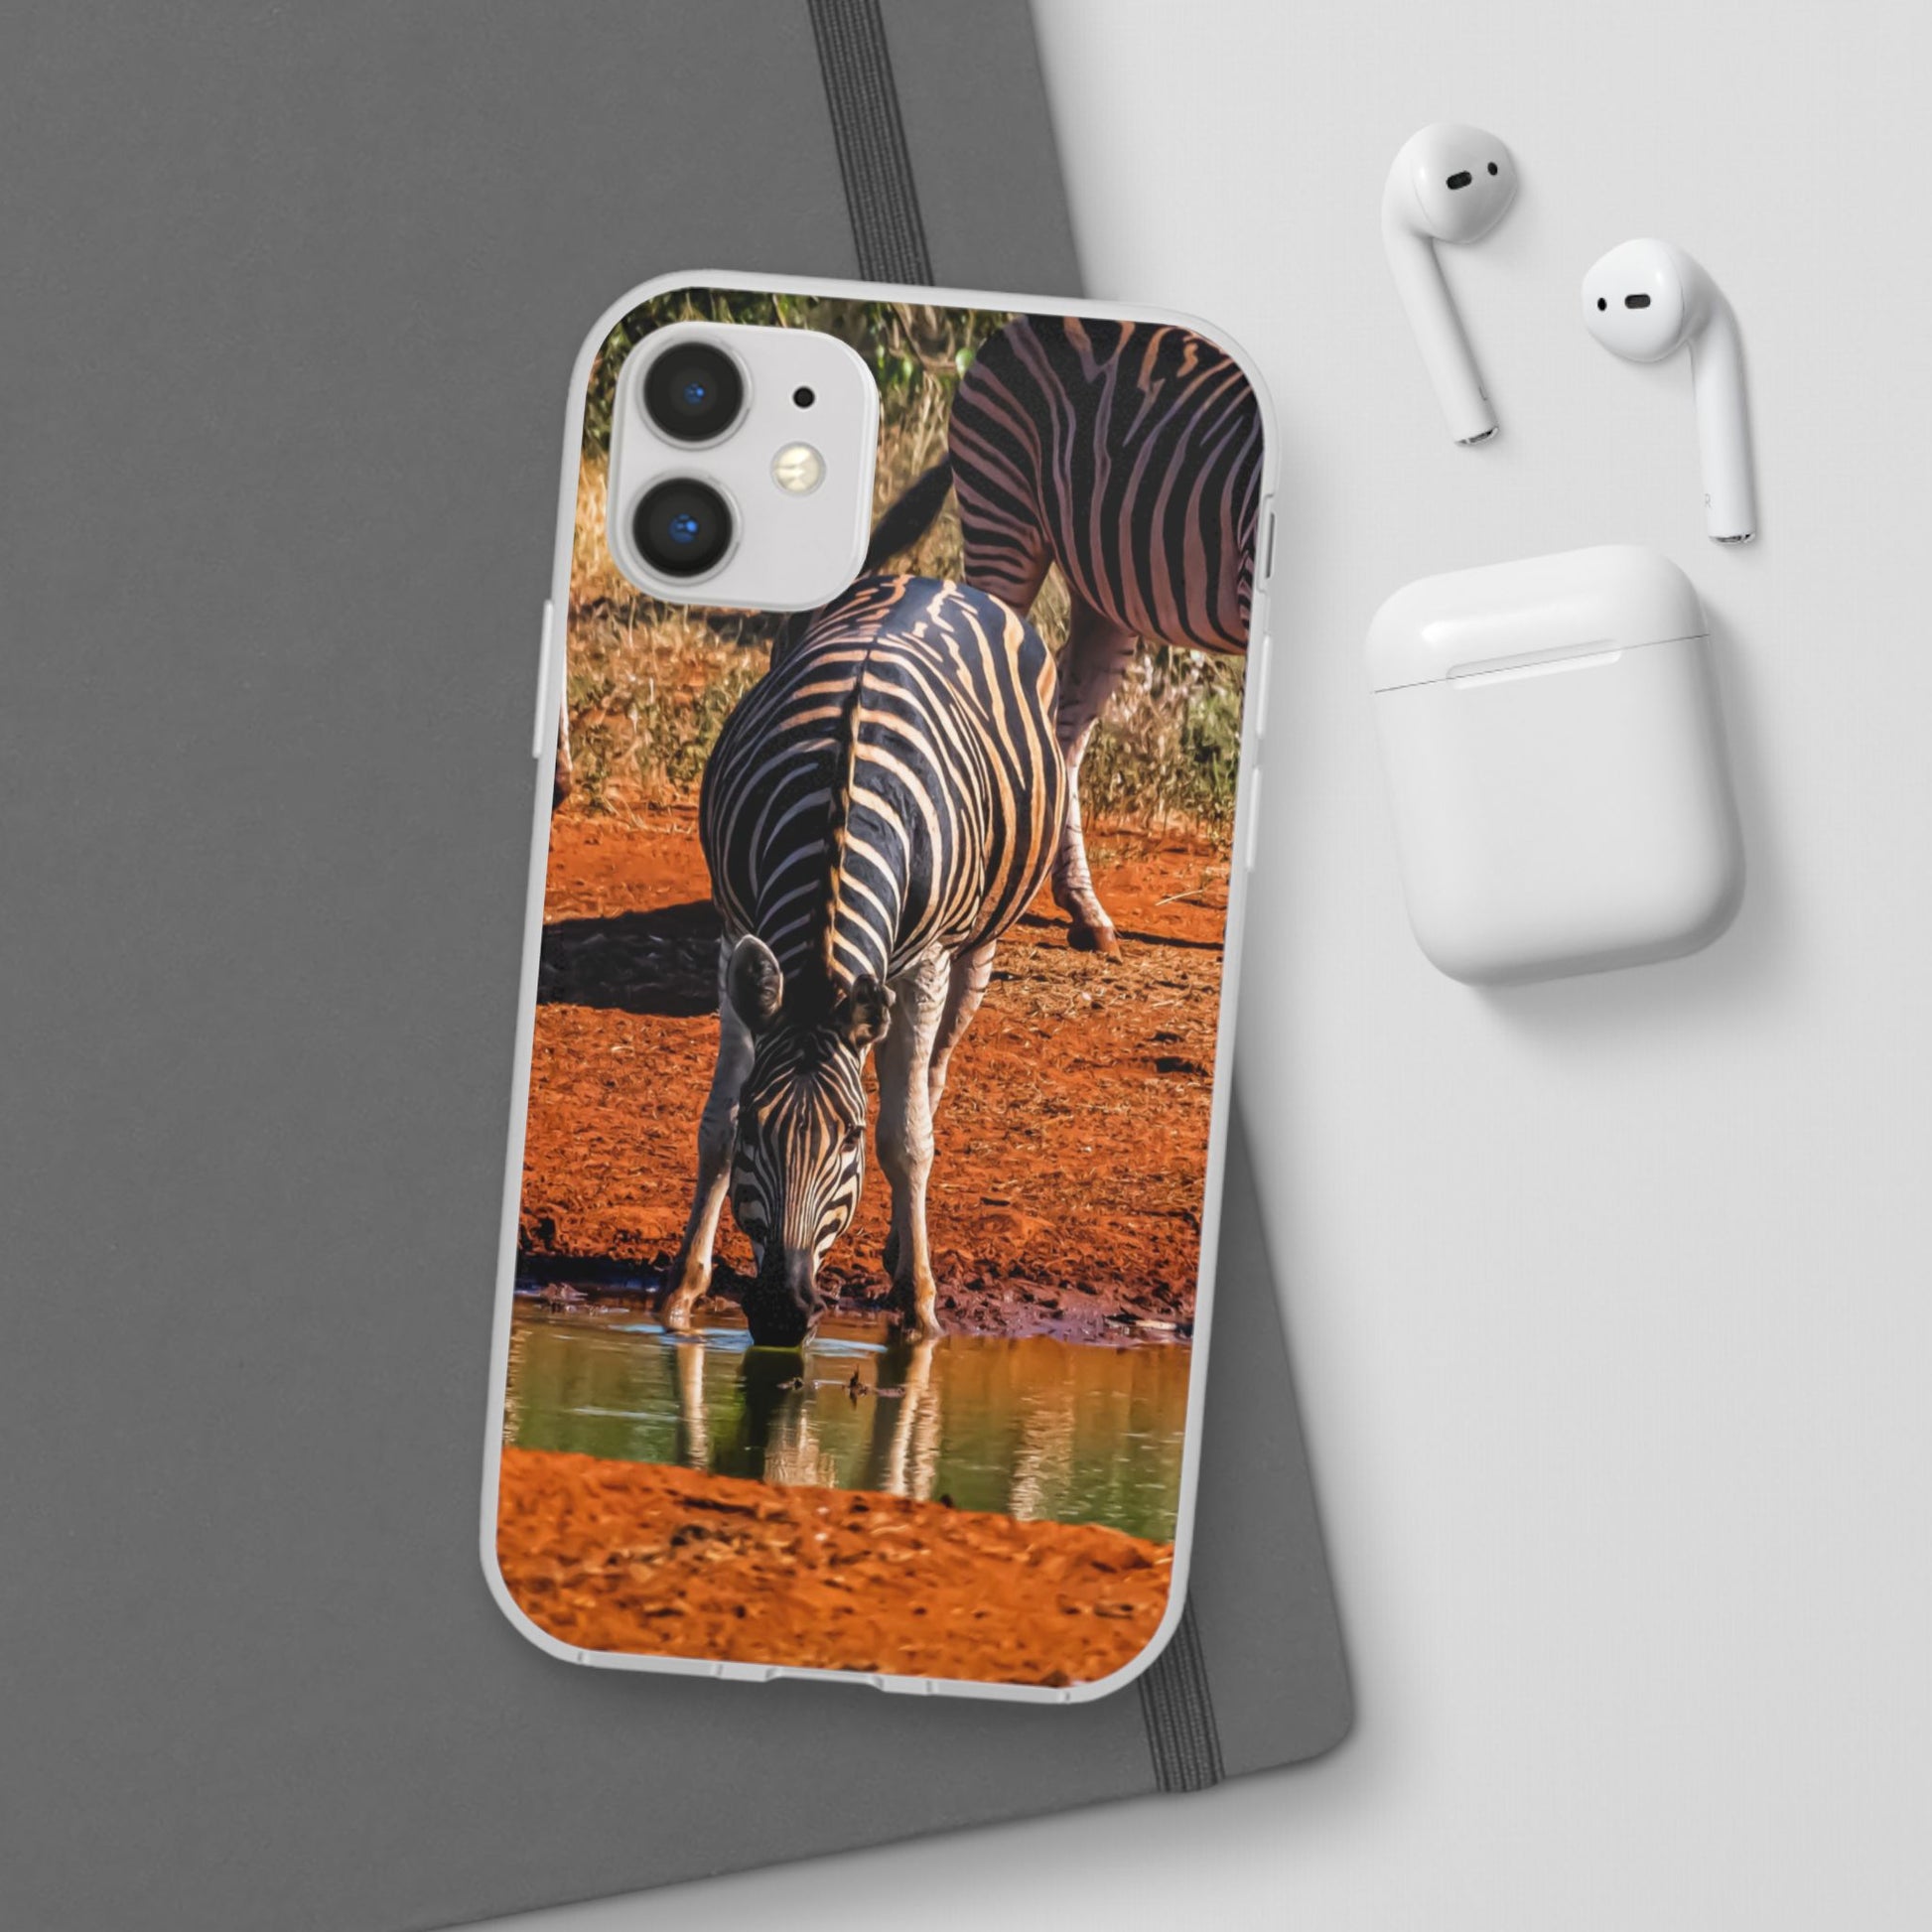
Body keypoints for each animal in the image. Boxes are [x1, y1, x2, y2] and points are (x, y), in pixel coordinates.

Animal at [662, 573, 1066, 1347]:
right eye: (758, 1125)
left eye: (847, 1138)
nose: (782, 1312)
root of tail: (930, 579)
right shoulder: (736, 933)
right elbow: (714, 1123)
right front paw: (681, 1292)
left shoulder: (927, 961)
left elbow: (907, 1140)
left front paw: (919, 1306)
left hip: (977, 943)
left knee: (931, 1078)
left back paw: (905, 1249)